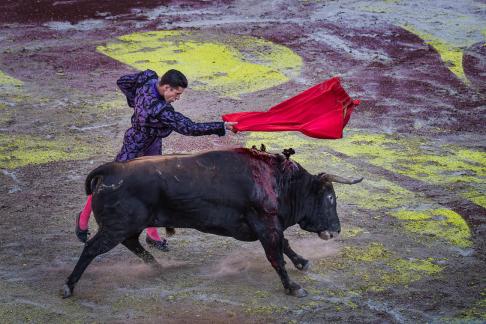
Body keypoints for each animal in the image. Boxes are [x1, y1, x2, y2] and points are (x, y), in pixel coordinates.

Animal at [62, 148, 362, 298]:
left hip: (125, 226)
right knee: (92, 248)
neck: (280, 181)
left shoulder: (270, 225)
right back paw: (69, 286)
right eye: (330, 198)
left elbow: (284, 246)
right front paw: (293, 287)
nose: (336, 230)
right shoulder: (266, 225)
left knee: (131, 242)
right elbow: (276, 256)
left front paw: (302, 262)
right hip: (116, 227)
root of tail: (111, 169)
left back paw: (157, 267)